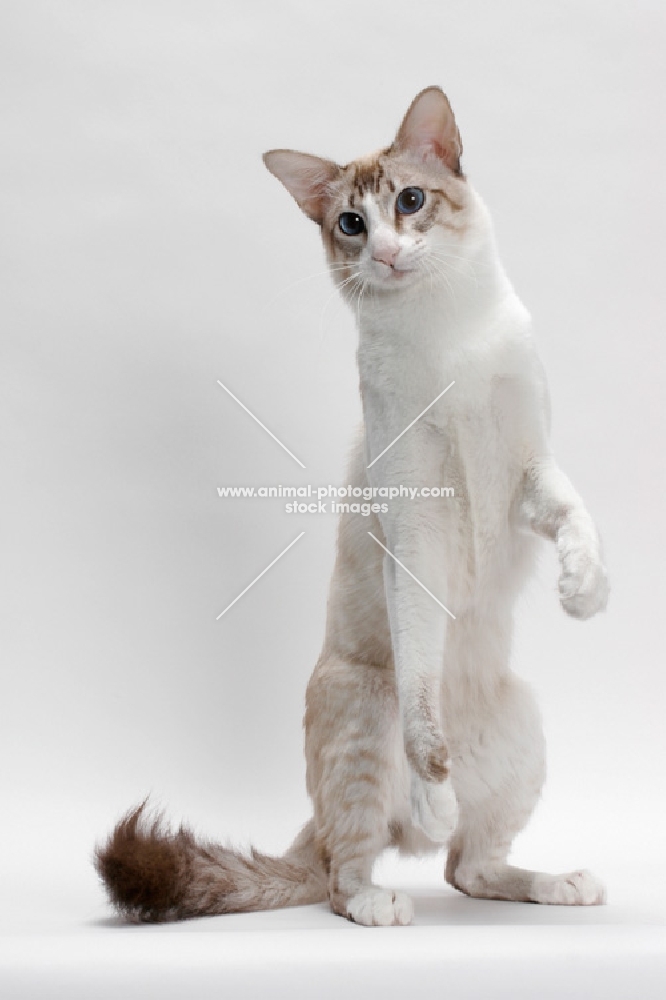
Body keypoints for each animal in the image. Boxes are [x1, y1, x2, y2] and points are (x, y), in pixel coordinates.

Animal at [93, 90, 608, 924]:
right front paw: (434, 793)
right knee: (348, 864)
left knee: (469, 866)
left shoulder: (530, 472)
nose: (388, 253)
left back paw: (558, 882)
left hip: (525, 728)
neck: (444, 326)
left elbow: (575, 515)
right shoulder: (416, 527)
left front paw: (586, 590)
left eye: (410, 202)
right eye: (350, 224)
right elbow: (424, 711)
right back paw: (384, 893)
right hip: (365, 716)